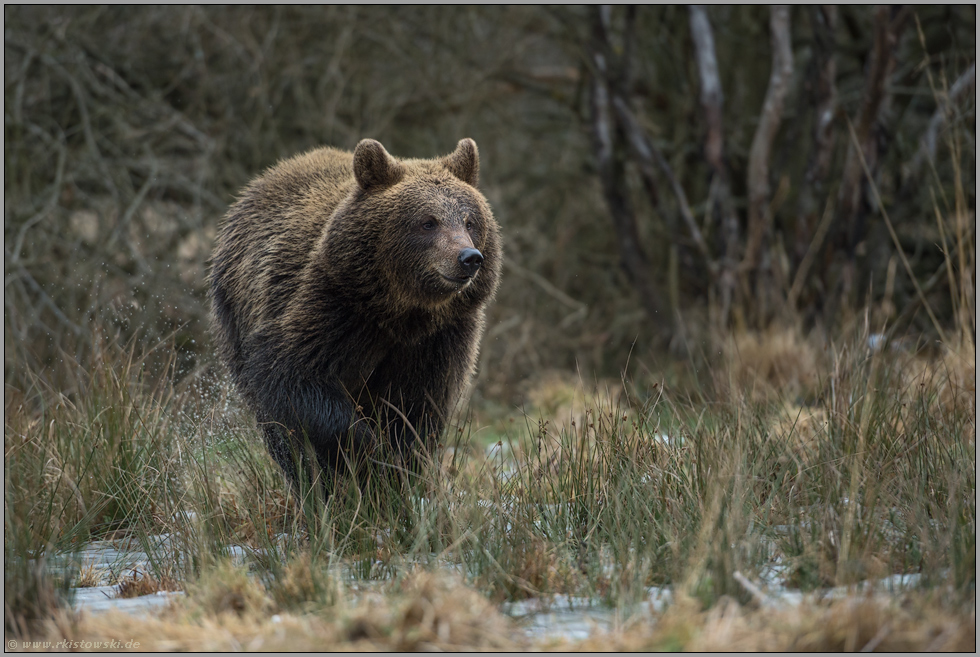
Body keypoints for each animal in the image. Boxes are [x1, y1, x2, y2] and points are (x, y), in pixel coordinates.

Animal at [209, 138, 501, 490]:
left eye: (470, 221)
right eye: (428, 221)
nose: (469, 257)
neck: (401, 310)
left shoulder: (440, 339)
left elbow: (416, 410)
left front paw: (399, 471)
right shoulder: (331, 312)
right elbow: (295, 380)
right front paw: (370, 457)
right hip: (236, 317)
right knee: (282, 437)